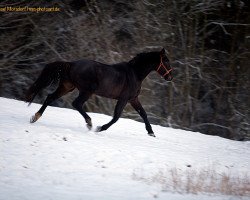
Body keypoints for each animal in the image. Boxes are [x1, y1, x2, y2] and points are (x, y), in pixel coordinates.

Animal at [24, 48, 172, 138]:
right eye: (166, 61)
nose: (170, 77)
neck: (135, 73)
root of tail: (71, 64)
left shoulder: (133, 99)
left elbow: (143, 114)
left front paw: (151, 132)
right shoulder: (124, 99)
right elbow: (116, 117)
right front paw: (100, 128)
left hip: (67, 87)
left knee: (50, 98)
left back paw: (35, 117)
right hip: (87, 90)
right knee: (76, 103)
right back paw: (89, 123)